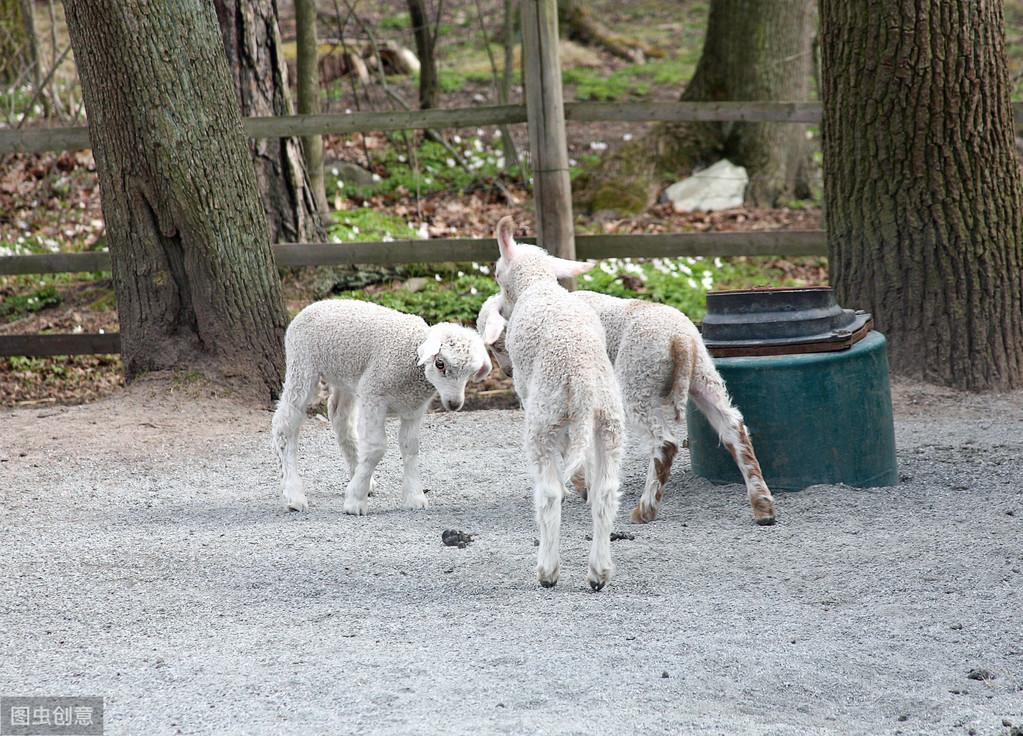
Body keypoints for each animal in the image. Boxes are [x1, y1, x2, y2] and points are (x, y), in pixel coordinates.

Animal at [272, 296, 491, 515]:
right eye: (440, 364)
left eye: (471, 373)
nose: (454, 404)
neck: (412, 362)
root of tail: (315, 304)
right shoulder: (374, 396)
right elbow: (375, 448)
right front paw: (355, 501)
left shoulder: (414, 407)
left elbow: (410, 447)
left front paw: (414, 496)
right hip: (302, 365)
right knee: (285, 425)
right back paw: (293, 494)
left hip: (346, 377)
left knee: (339, 416)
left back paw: (357, 472)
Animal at [478, 290, 773, 528]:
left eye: (497, 345)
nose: (506, 371)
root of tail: (680, 340)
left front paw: (581, 486)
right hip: (703, 376)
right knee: (733, 427)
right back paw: (762, 506)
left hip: (637, 380)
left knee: (664, 442)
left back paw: (645, 509)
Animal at [482, 215, 626, 589]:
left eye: (497, 274)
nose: (502, 307)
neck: (538, 285)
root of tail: (583, 379)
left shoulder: (527, 392)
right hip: (610, 423)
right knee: (606, 492)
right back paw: (599, 572)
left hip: (545, 418)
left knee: (549, 493)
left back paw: (548, 571)